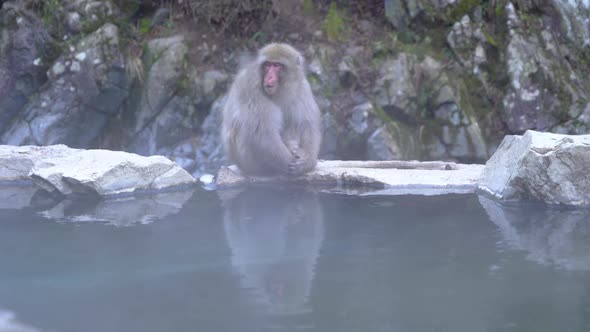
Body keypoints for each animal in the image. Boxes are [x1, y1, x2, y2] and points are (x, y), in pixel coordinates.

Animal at [223, 43, 324, 176]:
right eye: (267, 65)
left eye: (277, 66)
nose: (269, 77)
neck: (280, 90)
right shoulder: (250, 86)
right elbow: (262, 134)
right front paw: (293, 162)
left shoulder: (303, 87)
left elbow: (307, 125)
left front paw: (308, 161)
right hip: (248, 162)